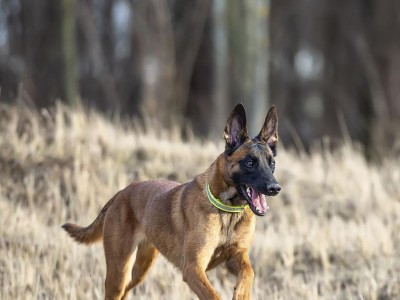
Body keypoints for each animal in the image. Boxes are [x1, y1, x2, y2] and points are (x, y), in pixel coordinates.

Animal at [62, 103, 282, 300]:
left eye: (272, 163)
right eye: (250, 163)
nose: (275, 188)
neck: (227, 211)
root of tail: (122, 192)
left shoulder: (235, 258)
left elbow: (249, 272)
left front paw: (242, 293)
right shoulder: (193, 267)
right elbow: (213, 295)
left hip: (140, 270)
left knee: (127, 290)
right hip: (119, 270)